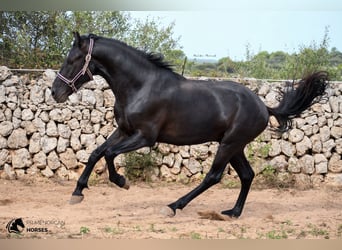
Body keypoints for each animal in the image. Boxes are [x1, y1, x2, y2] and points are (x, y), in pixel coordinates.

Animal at [51, 32, 328, 218]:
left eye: (73, 59)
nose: (55, 92)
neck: (141, 86)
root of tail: (264, 107)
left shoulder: (144, 137)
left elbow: (108, 154)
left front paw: (121, 181)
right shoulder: (124, 130)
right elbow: (96, 152)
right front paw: (78, 193)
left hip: (230, 144)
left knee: (213, 176)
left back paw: (173, 206)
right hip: (235, 146)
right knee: (247, 175)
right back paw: (233, 212)